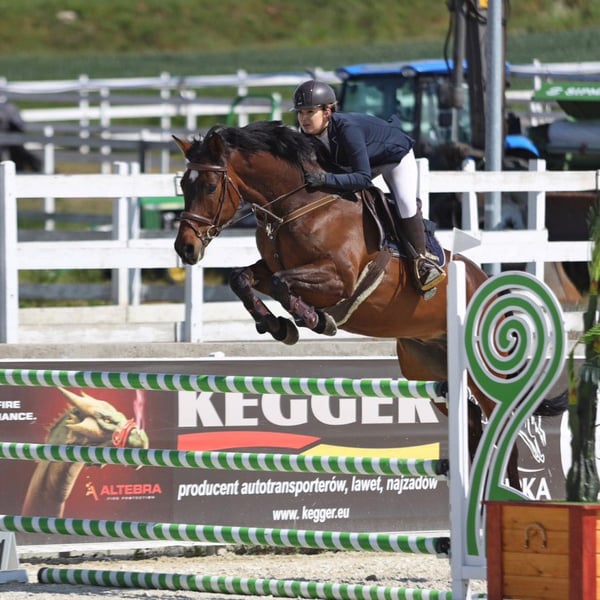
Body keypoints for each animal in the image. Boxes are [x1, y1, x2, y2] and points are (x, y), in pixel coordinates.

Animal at [172, 120, 565, 491]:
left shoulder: (338, 278)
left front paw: (313, 320)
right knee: (471, 425)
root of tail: (488, 286)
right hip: (429, 372)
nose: (185, 249)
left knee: (504, 432)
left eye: (209, 186)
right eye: (183, 187)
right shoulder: (270, 268)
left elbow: (286, 286)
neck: (295, 206)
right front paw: (277, 327)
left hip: (483, 371)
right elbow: (241, 278)